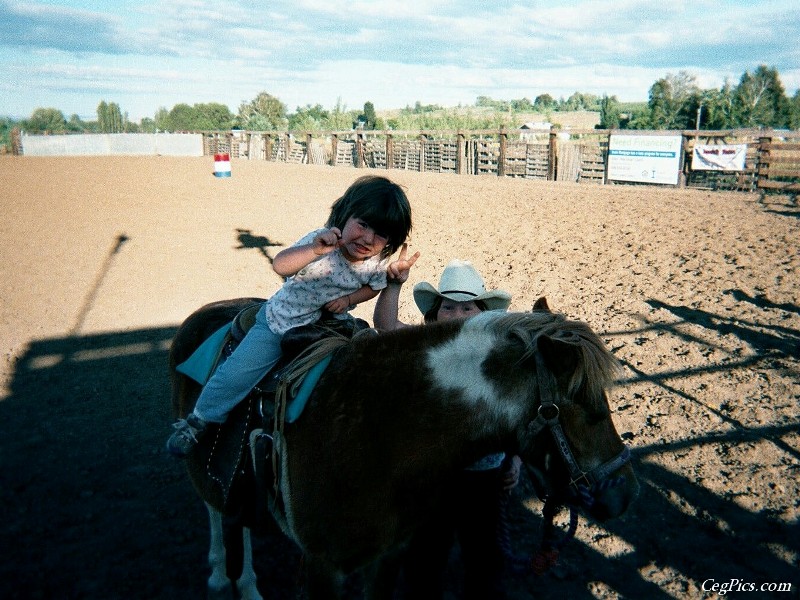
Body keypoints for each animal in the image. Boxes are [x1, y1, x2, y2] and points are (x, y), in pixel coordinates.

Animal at [169, 298, 636, 596]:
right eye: (593, 410)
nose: (624, 492)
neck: (377, 433)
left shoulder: (389, 557)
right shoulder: (324, 567)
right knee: (217, 509)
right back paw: (228, 577)